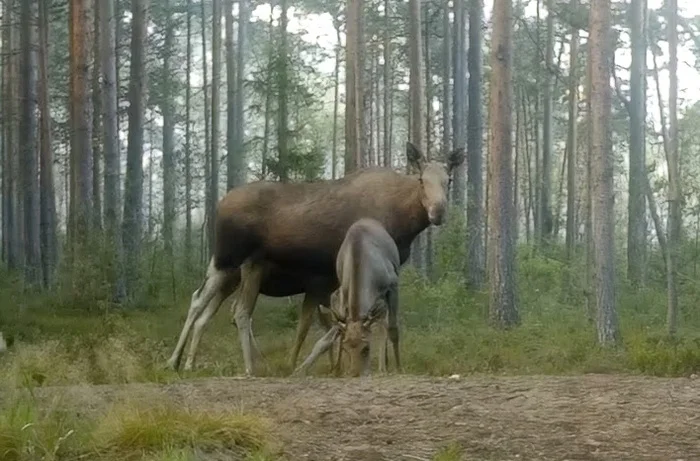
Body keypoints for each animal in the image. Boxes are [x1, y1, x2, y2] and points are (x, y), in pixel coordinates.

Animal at [292, 217, 400, 376]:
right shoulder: (343, 292)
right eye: (345, 347)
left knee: (384, 325)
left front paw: (398, 368)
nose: (355, 373)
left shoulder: (393, 284)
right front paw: (336, 369)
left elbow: (393, 329)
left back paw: (384, 366)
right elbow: (337, 332)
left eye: (366, 348)